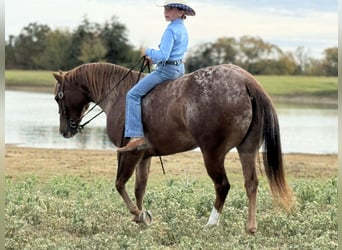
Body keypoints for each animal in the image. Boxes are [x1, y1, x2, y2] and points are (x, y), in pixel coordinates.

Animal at [53, 61, 294, 233]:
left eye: (58, 97)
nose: (65, 130)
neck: (120, 94)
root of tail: (245, 81)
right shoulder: (144, 156)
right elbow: (139, 188)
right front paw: (142, 217)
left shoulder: (129, 153)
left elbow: (120, 184)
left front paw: (137, 213)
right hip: (247, 149)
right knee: (251, 183)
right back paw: (251, 227)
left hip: (212, 153)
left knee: (222, 185)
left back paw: (211, 223)